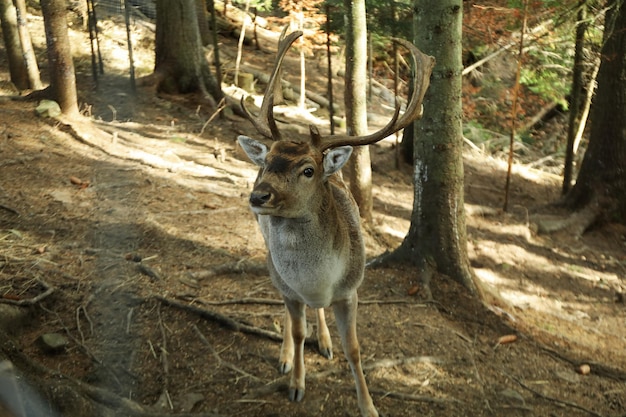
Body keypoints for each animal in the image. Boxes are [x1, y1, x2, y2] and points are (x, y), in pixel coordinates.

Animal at [235, 30, 434, 416]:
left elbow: (354, 349)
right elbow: (297, 330)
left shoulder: (351, 290)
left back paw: (324, 341)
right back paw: (286, 356)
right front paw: (296, 383)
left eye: (308, 170)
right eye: (267, 162)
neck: (318, 281)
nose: (259, 196)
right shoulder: (288, 286)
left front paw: (369, 406)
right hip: (270, 262)